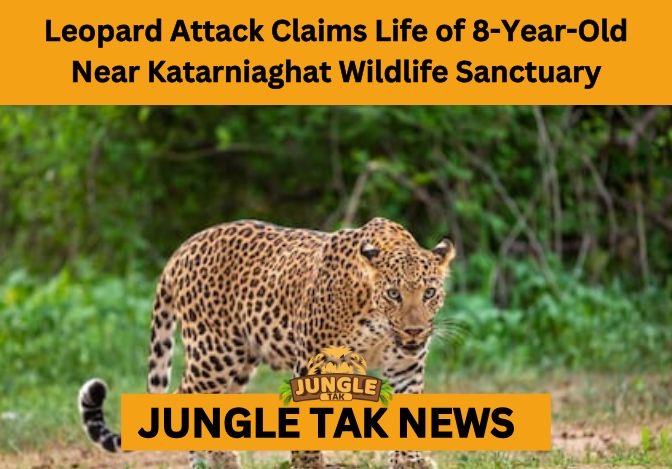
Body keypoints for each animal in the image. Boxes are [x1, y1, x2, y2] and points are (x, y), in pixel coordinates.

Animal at [78, 217, 456, 468]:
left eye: (429, 293)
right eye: (393, 294)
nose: (414, 331)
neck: (377, 323)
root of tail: (183, 248)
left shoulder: (406, 368)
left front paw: (410, 462)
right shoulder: (314, 362)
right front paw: (309, 464)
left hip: (240, 359)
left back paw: (224, 459)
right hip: (214, 352)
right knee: (185, 395)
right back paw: (201, 462)